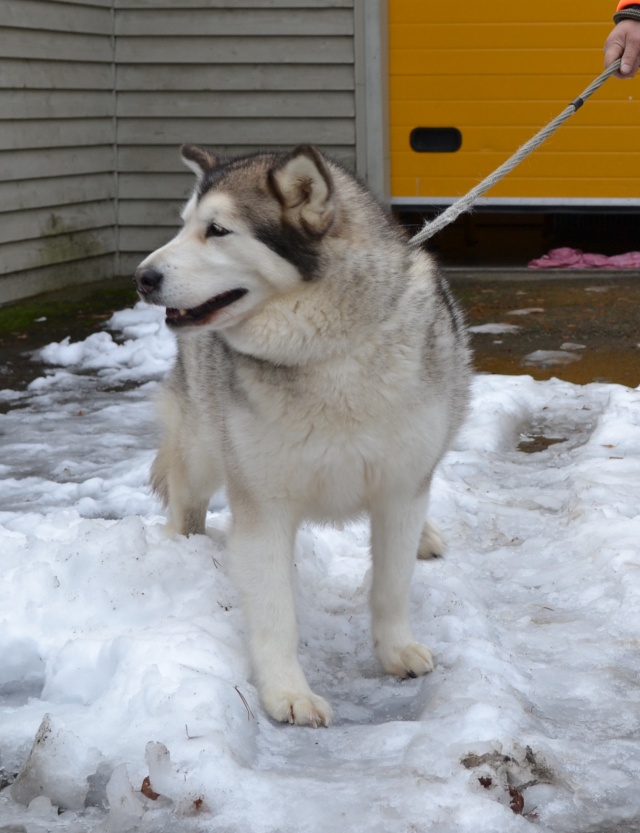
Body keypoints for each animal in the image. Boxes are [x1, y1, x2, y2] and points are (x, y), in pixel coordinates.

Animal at [134, 144, 472, 727]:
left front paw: (394, 650)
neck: (327, 352)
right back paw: (179, 549)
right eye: (182, 225)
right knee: (185, 501)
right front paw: (287, 693)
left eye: (217, 230)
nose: (142, 277)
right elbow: (275, 613)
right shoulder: (263, 505)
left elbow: (392, 584)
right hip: (200, 447)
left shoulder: (401, 489)